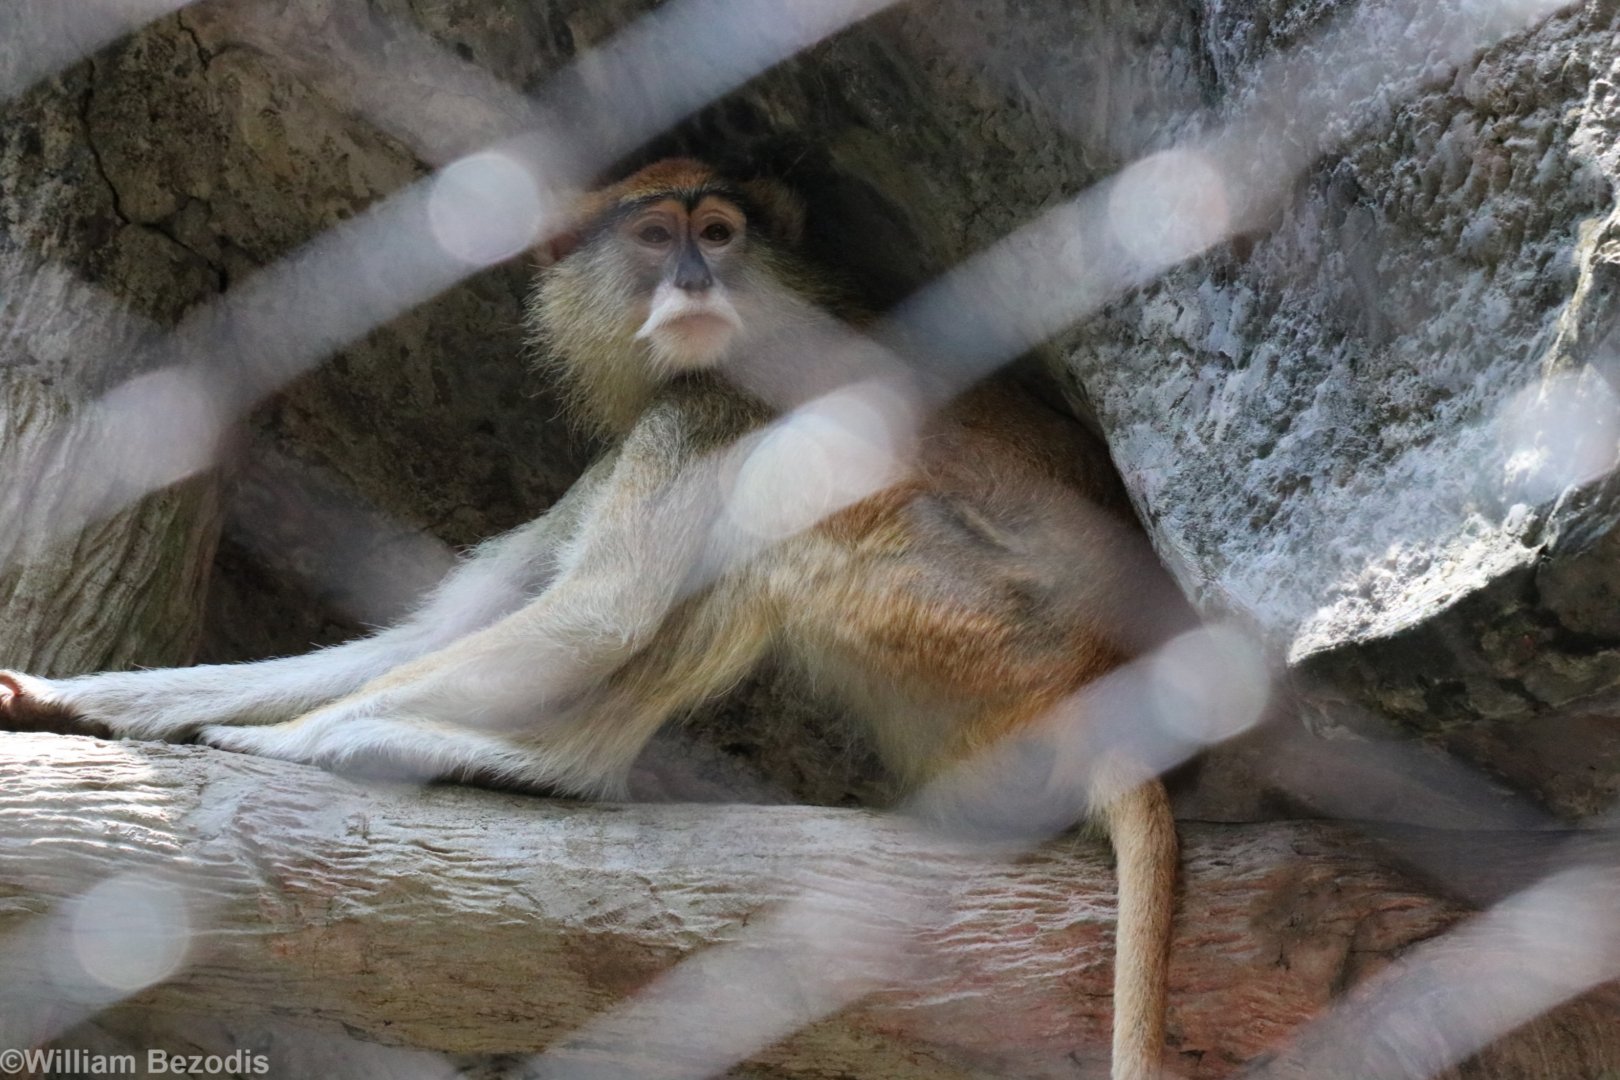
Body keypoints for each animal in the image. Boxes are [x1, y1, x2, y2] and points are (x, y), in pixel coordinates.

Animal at [0, 158, 1181, 1080]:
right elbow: (438, 632)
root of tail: (1102, 677)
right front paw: (66, 698)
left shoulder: (707, 407)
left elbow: (600, 616)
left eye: (719, 233)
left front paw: (289, 742)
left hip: (975, 630)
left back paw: (551, 767)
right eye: (657, 236)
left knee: (779, 537)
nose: (696, 277)